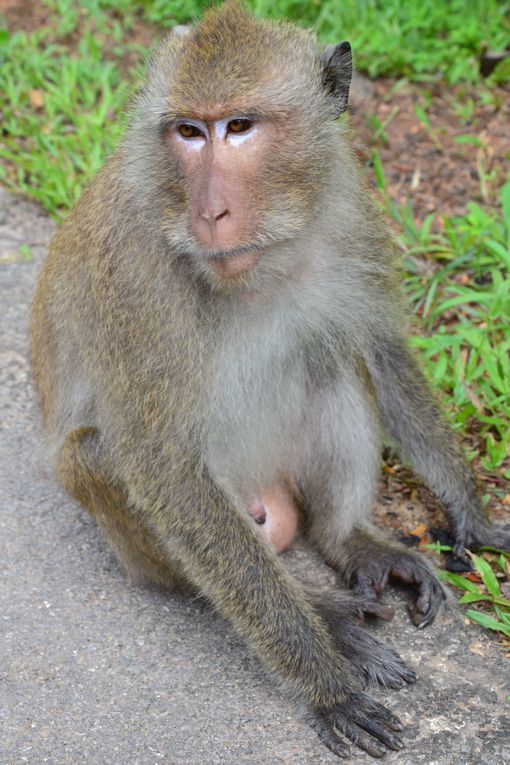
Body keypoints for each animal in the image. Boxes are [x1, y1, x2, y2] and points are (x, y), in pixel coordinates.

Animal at [28, 1, 510, 760]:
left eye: (240, 127)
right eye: (188, 132)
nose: (210, 211)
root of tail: (267, 497)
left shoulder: (347, 208)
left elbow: (381, 347)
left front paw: (472, 514)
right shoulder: (135, 268)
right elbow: (164, 469)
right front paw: (328, 685)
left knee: (329, 358)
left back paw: (351, 542)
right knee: (108, 461)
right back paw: (329, 617)